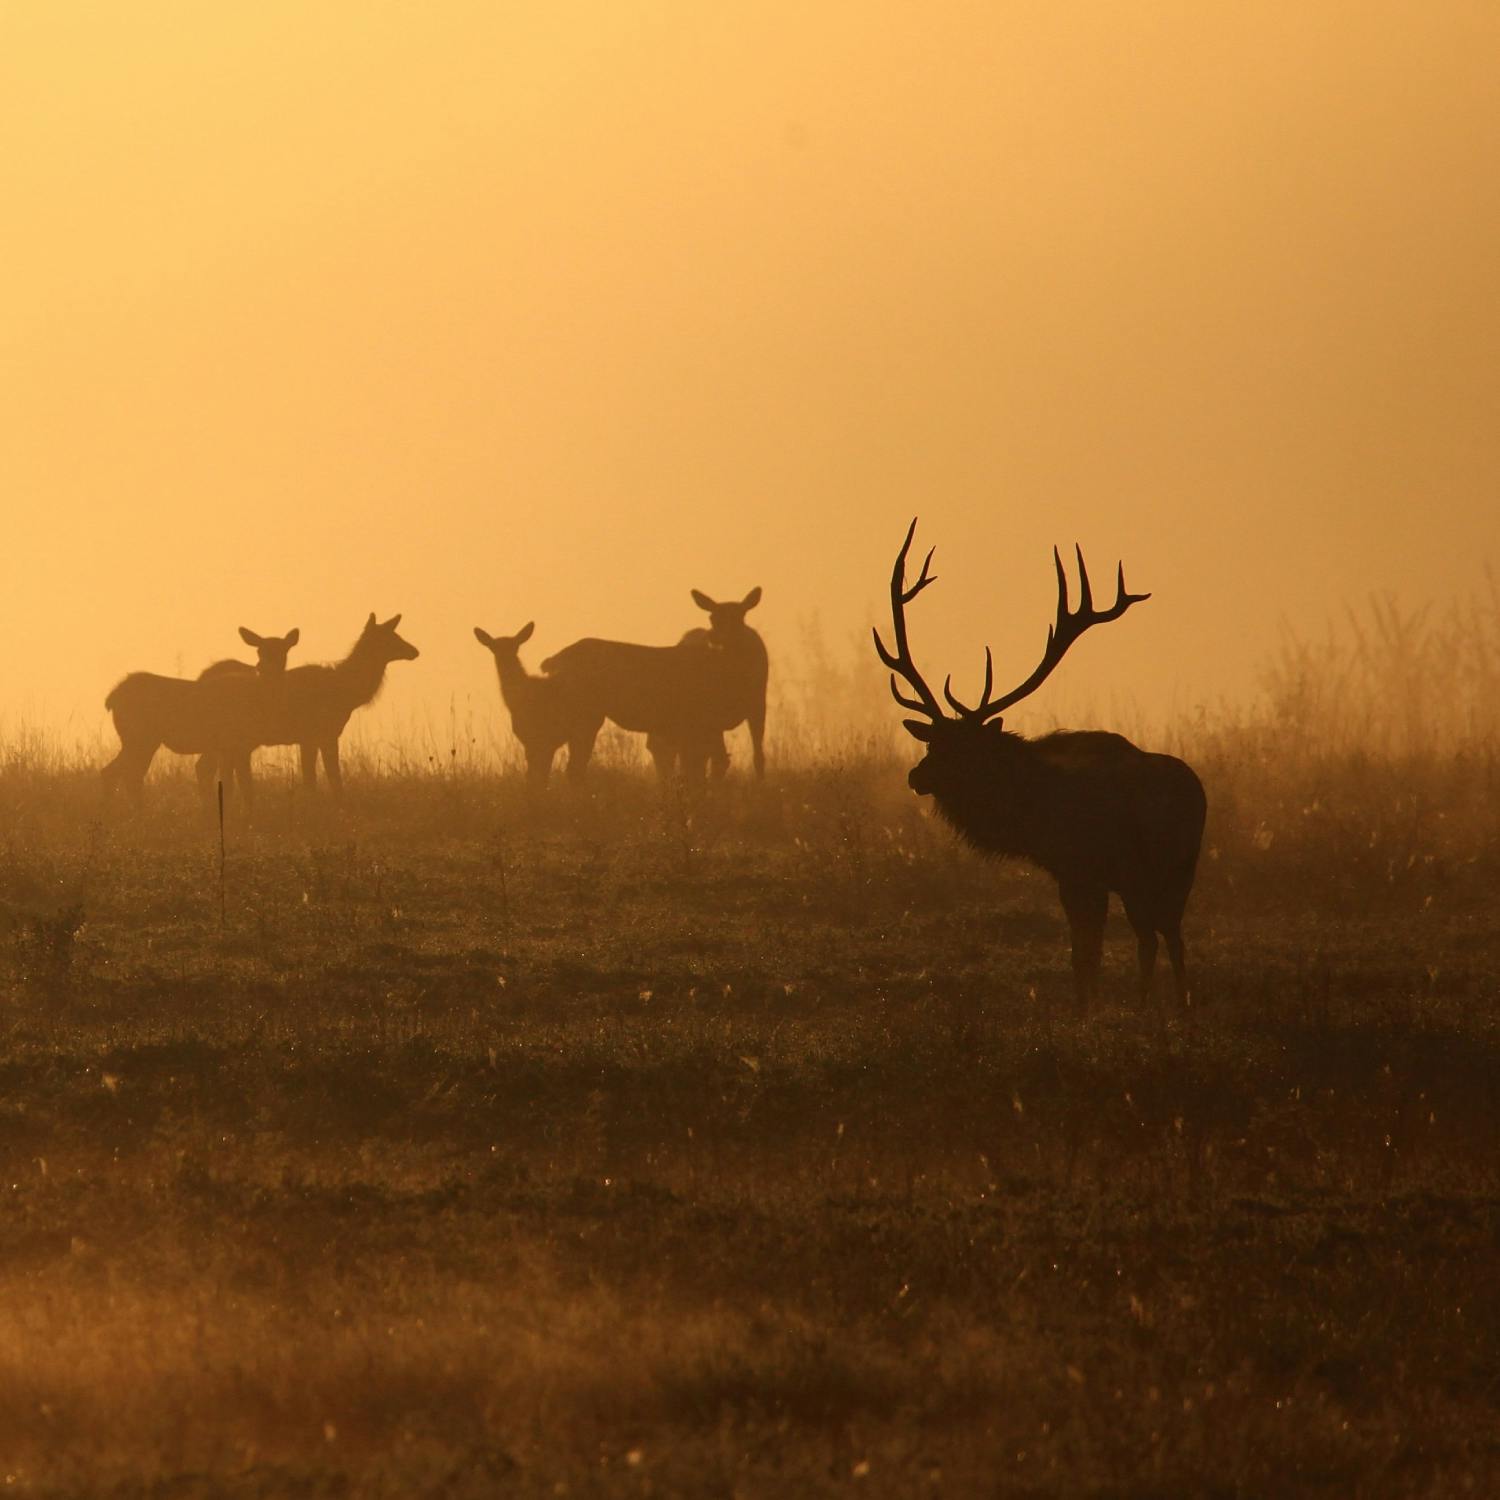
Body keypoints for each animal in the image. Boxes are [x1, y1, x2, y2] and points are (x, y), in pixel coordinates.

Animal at [473, 622, 604, 789]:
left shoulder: (545, 738)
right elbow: (534, 777)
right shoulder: (531, 741)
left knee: (576, 768)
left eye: (515, 646)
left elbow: (539, 778)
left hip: (583, 728)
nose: (504, 660)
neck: (517, 700)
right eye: (493, 647)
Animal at [875, 519, 1206, 1008]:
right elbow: (1090, 949)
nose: (916, 776)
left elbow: (1083, 952)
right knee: (1170, 934)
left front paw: (1084, 1011)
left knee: (1154, 934)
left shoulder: (1076, 869)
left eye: (965, 750)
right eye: (933, 743)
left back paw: (1152, 1006)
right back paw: (1177, 1009)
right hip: (1177, 868)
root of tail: (1194, 796)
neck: (1028, 813)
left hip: (1145, 869)